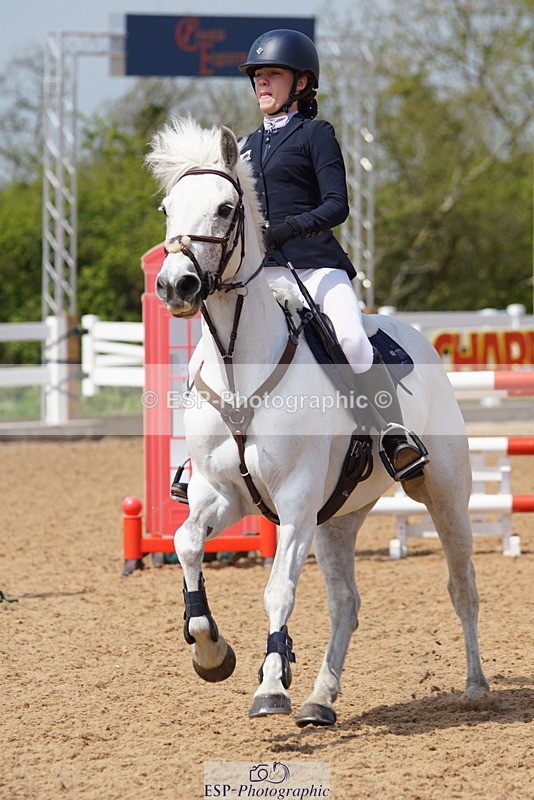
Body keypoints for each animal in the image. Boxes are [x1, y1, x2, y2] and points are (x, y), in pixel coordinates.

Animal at [145, 116, 490, 726]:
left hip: (444, 493)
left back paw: (474, 686)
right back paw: (320, 699)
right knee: (346, 603)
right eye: (168, 208)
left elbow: (278, 590)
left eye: (225, 209)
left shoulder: (297, 499)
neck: (239, 362)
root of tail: (419, 335)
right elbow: (186, 544)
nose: (174, 286)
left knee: (461, 585)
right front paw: (212, 651)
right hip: (339, 516)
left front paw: (270, 686)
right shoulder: (222, 494)